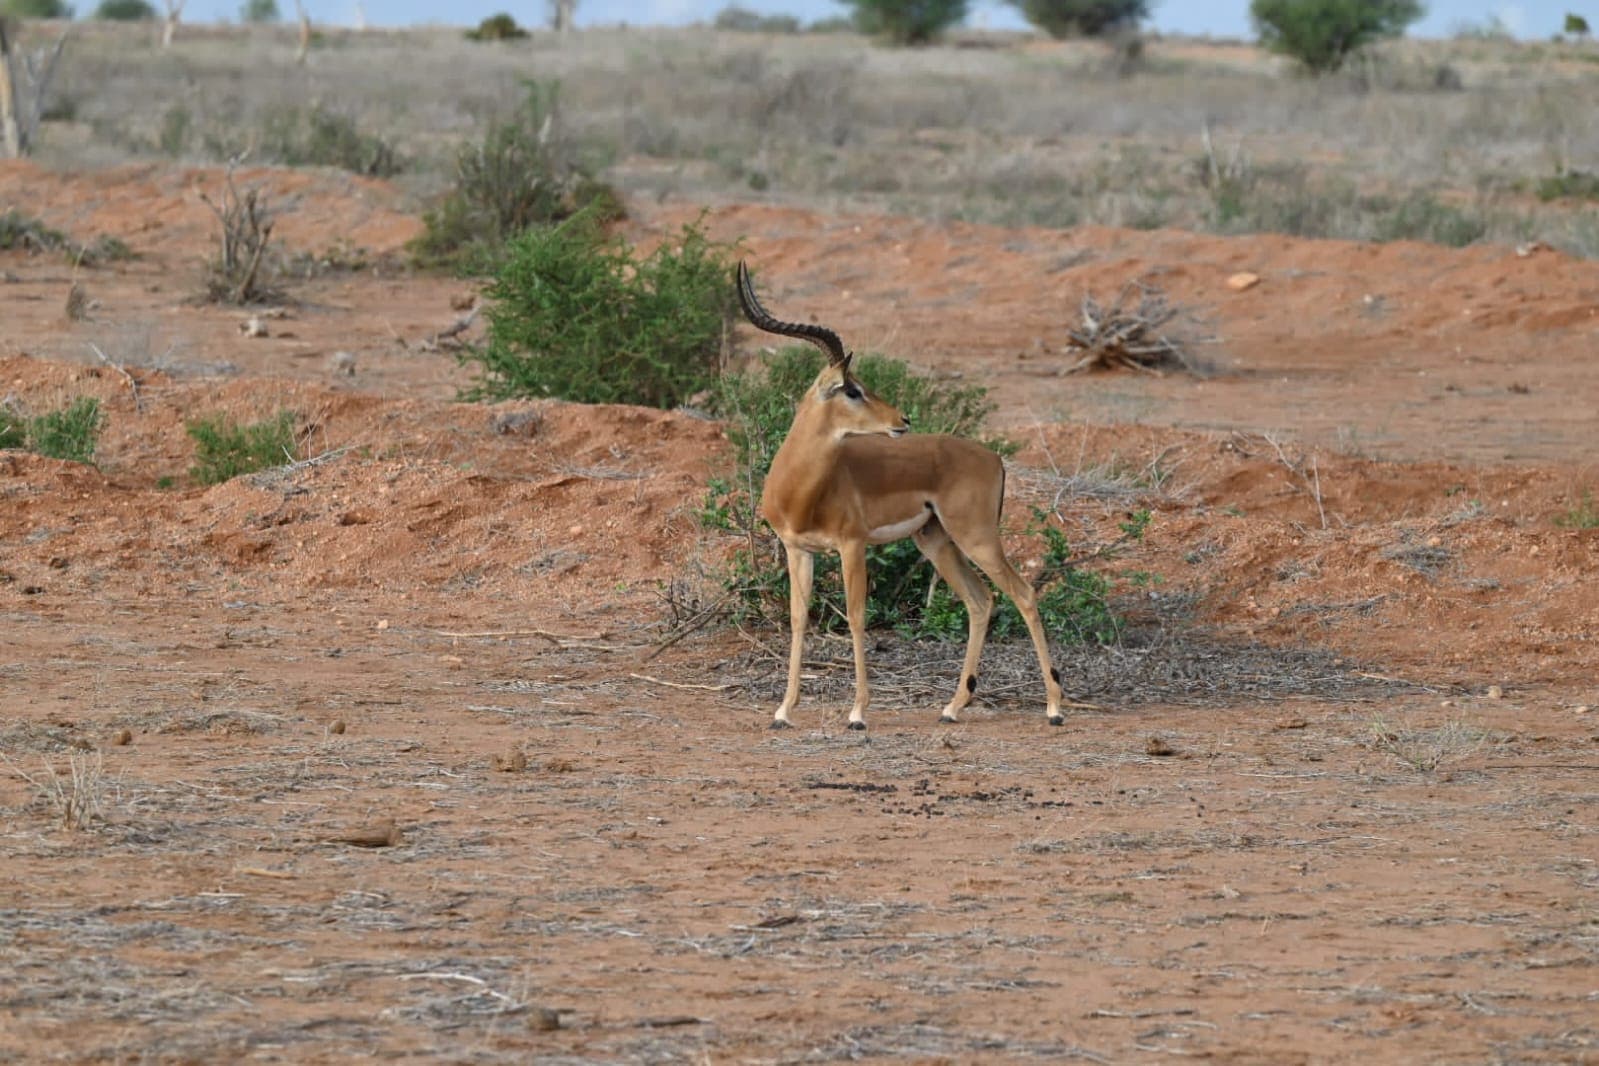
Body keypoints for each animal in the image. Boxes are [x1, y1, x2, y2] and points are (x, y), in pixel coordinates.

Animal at [736, 261, 1065, 731]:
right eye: (852, 389)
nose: (902, 420)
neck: (802, 489)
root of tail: (994, 458)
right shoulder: (798, 549)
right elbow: (799, 620)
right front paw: (783, 711)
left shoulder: (852, 546)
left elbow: (856, 617)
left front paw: (857, 713)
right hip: (936, 540)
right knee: (980, 601)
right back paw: (952, 707)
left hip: (976, 537)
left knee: (1023, 593)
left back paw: (1054, 708)